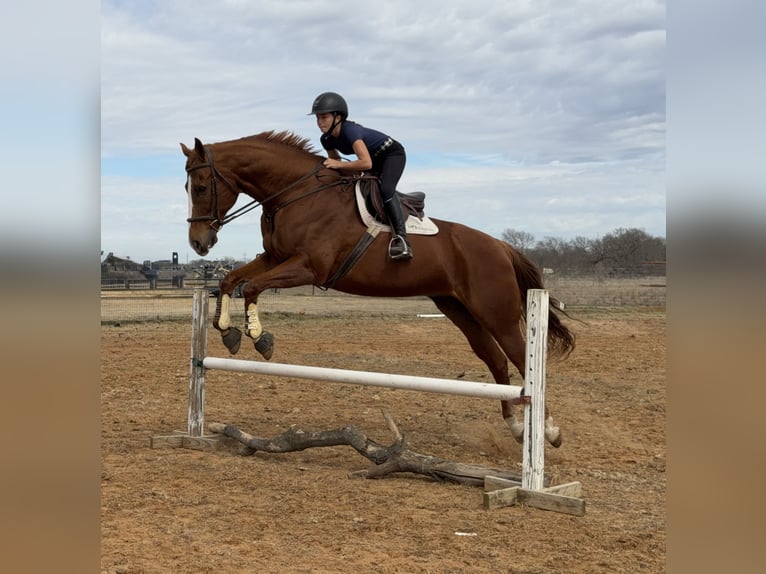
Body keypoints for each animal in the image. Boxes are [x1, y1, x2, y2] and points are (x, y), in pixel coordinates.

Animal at [180, 131, 575, 446]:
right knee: (495, 360)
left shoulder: (309, 267)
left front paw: (259, 337)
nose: (199, 243)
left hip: (497, 313)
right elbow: (231, 280)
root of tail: (501, 247)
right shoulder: (275, 257)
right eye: (188, 188)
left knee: (522, 359)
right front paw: (227, 331)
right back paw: (516, 428)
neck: (298, 194)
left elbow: (252, 287)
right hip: (459, 310)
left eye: (199, 187)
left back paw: (549, 431)